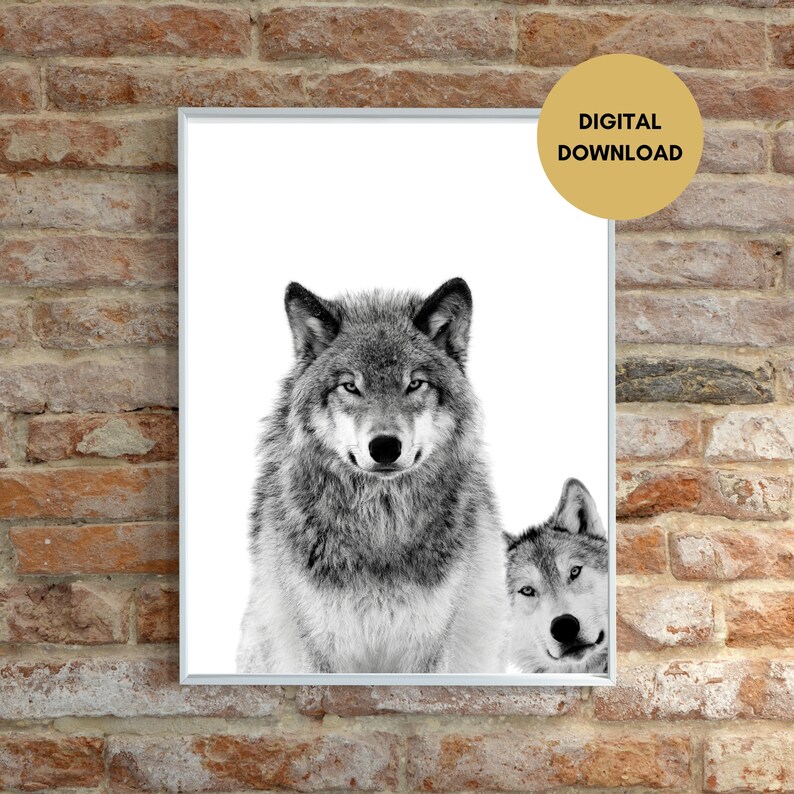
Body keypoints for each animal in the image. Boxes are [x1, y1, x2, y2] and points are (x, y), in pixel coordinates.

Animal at [236, 277, 508, 674]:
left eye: (414, 384)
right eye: (350, 386)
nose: (384, 447)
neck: (381, 527)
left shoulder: (429, 646)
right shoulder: (320, 647)